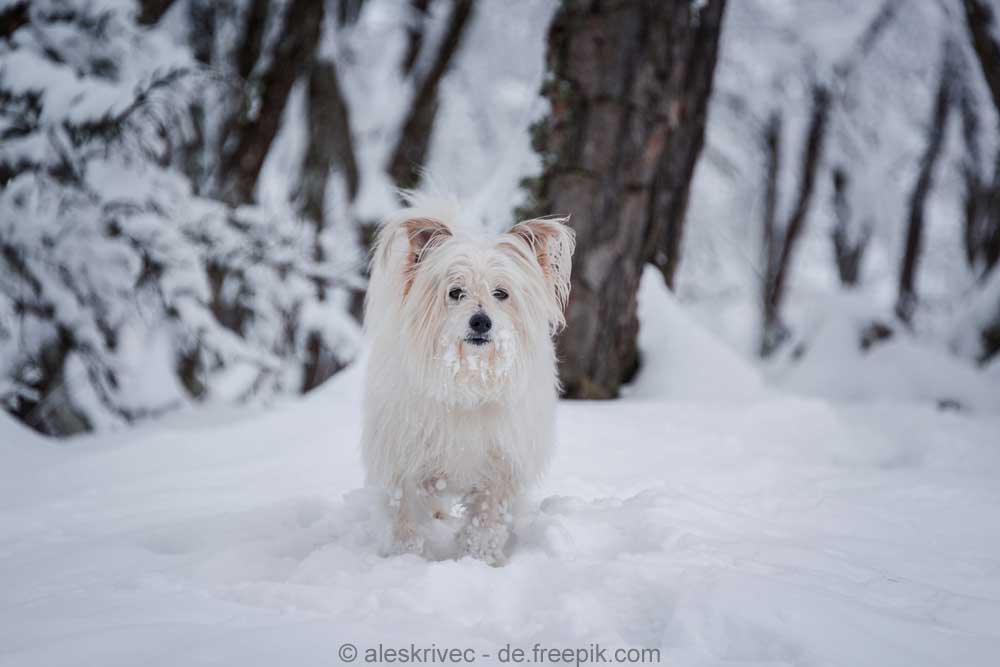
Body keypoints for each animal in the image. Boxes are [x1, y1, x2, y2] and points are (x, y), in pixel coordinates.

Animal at [364, 194, 576, 564]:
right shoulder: (401, 465)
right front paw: (407, 561)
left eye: (501, 293)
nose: (481, 322)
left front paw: (477, 561)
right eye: (455, 292)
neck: (467, 381)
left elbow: (484, 526)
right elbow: (404, 520)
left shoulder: (499, 472)